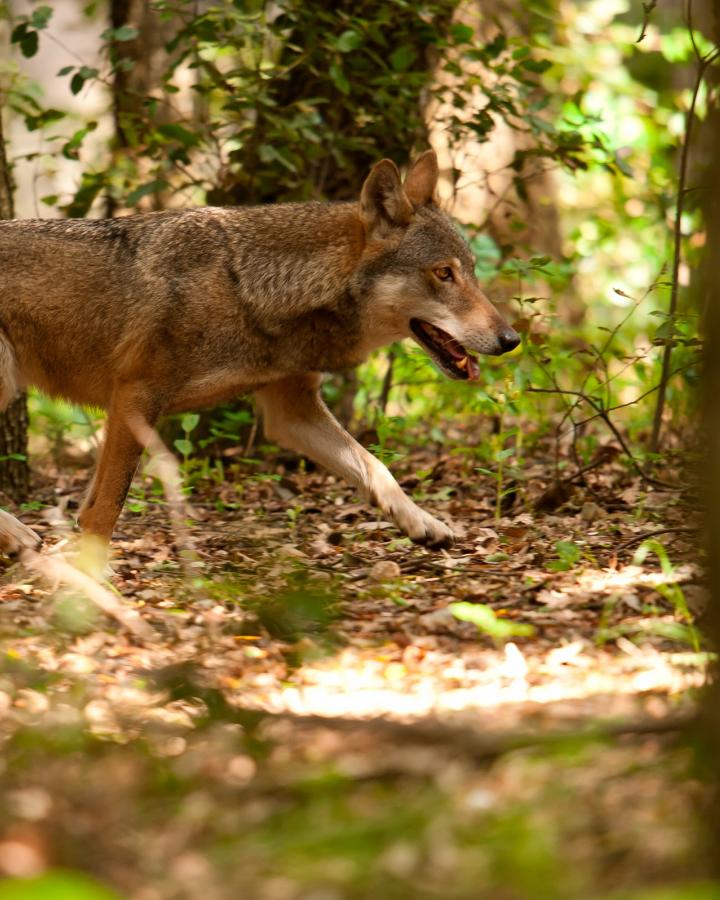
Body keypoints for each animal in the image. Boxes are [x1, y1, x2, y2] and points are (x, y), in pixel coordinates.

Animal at [0, 149, 516, 556]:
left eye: (472, 271)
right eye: (443, 273)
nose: (511, 339)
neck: (252, 288)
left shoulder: (291, 410)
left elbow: (376, 466)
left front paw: (424, 523)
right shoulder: (134, 397)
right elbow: (106, 508)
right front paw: (90, 582)